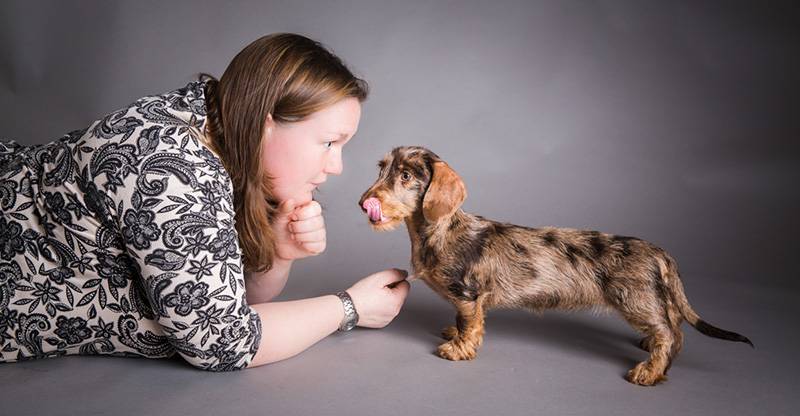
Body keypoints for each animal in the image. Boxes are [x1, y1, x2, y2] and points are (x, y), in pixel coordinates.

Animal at [360, 146, 752, 386]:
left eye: (407, 175)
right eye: (382, 169)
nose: (364, 202)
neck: (438, 231)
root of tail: (658, 251)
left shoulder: (469, 296)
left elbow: (470, 325)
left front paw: (459, 349)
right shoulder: (465, 300)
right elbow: (460, 322)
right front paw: (453, 334)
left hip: (635, 300)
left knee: (669, 334)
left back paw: (649, 372)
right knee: (675, 330)